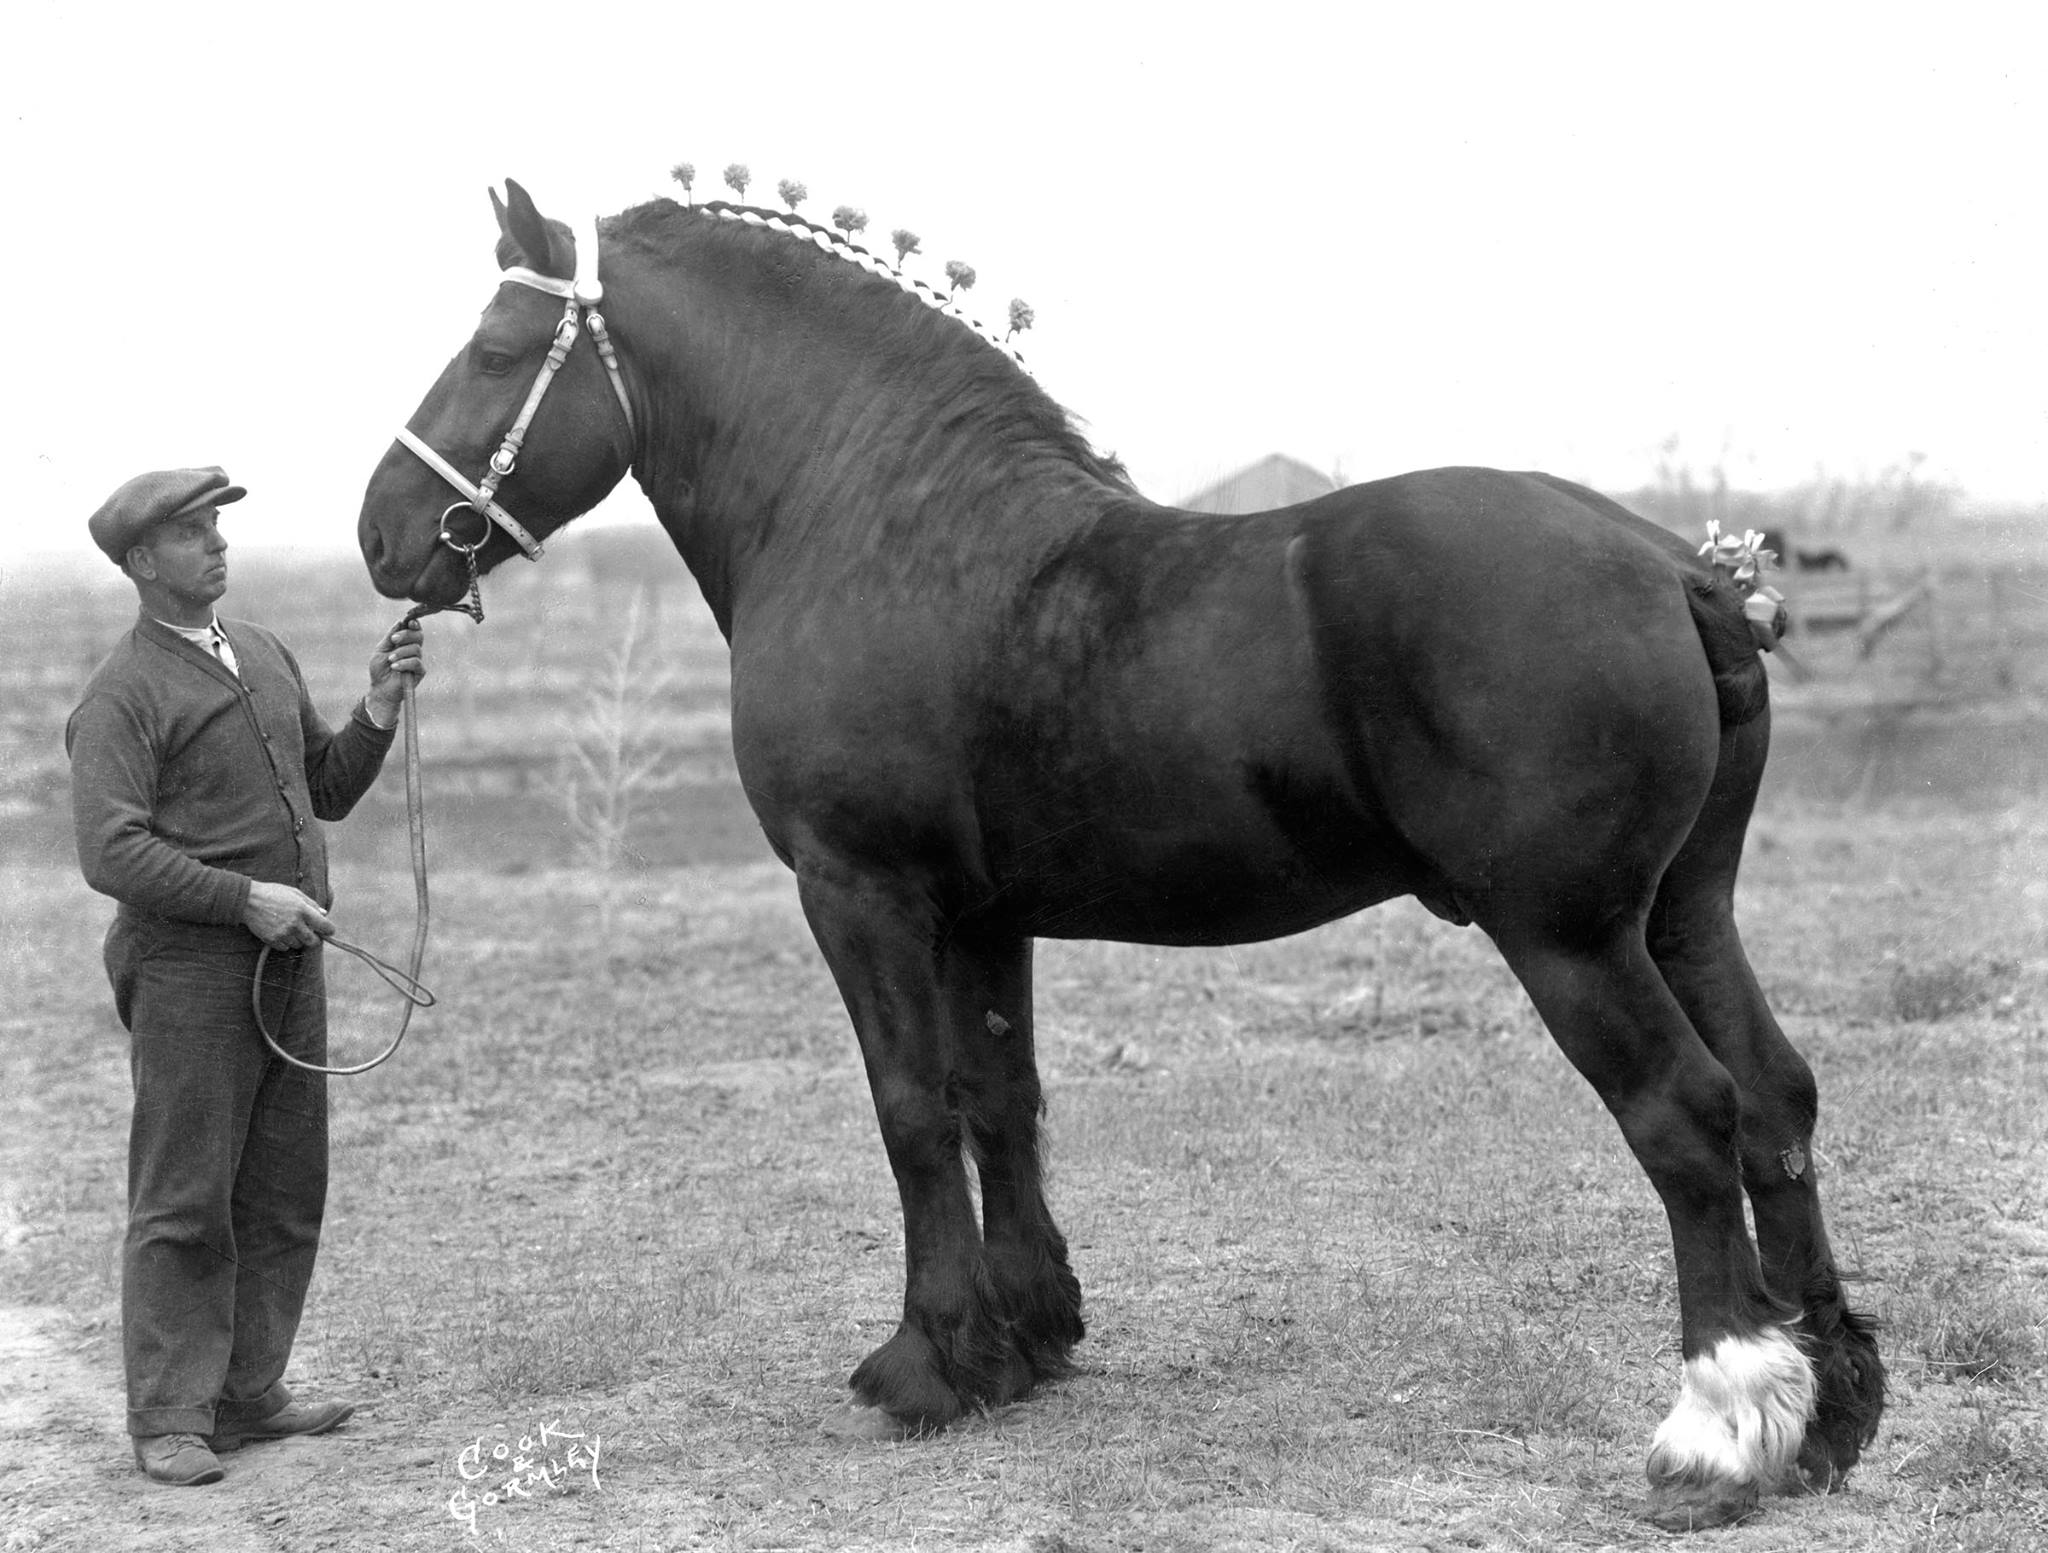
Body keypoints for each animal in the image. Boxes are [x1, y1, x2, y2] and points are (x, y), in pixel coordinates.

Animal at [356, 180, 1883, 1530]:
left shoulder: (858, 892)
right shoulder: (982, 916)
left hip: (1569, 935)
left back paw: (1715, 1434)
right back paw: (1830, 1409)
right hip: (1683, 911)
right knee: (1776, 1096)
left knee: (1686, 1115)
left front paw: (924, 1362)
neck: (882, 522)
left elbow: (911, 1111)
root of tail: (1674, 566)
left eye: (497, 348)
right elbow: (999, 1098)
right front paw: (1026, 1339)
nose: (381, 530)